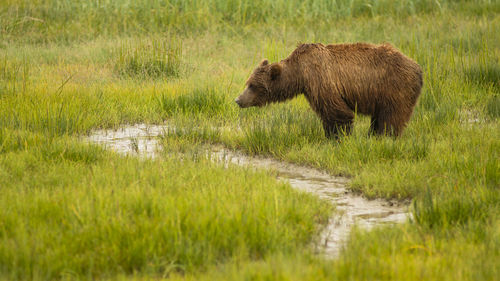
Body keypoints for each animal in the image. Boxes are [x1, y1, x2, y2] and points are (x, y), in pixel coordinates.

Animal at [236, 42, 424, 137]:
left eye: (252, 85)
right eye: (248, 82)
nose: (238, 100)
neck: (300, 73)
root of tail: (418, 68)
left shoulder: (321, 79)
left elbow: (337, 112)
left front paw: (338, 137)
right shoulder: (312, 89)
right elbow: (326, 112)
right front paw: (330, 135)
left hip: (395, 88)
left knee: (391, 117)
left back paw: (384, 137)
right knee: (380, 118)